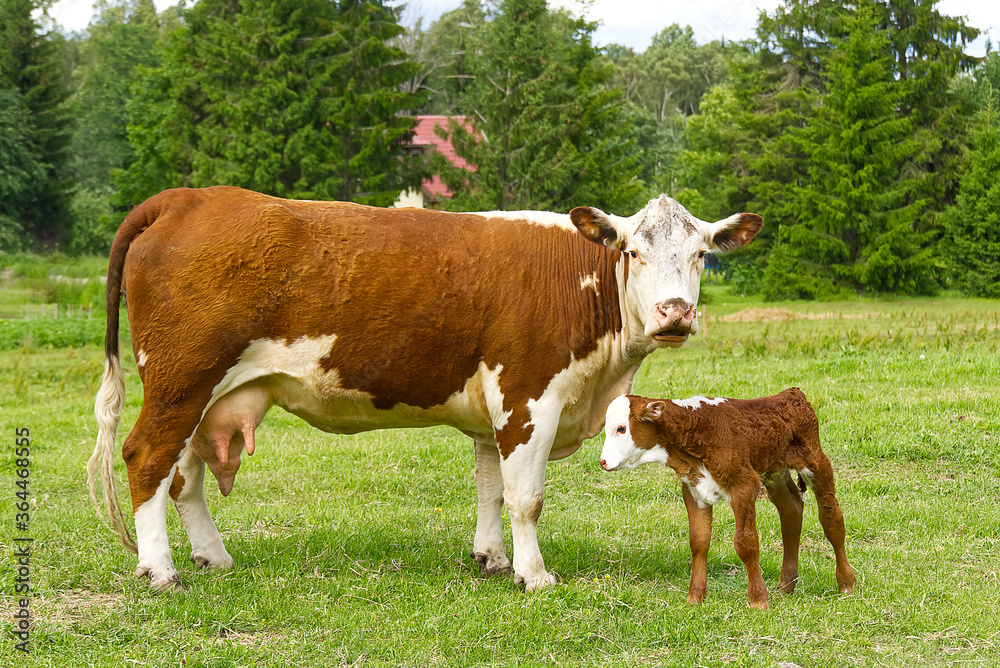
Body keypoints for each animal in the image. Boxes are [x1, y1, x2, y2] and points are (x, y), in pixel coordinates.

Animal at [88, 185, 756, 592]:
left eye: (700, 254)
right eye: (635, 251)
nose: (675, 313)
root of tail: (187, 197)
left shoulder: (495, 409)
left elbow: (491, 488)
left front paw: (491, 558)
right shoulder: (528, 397)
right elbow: (526, 497)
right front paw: (534, 574)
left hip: (203, 397)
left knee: (185, 475)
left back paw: (213, 556)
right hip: (181, 380)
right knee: (147, 458)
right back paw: (160, 570)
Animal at [596, 386, 856, 612]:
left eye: (621, 428)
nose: (603, 461)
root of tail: (791, 394)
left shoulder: (744, 485)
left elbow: (746, 543)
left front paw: (759, 600)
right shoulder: (693, 490)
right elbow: (698, 541)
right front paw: (695, 598)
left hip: (816, 463)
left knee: (832, 519)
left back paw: (846, 582)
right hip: (773, 471)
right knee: (791, 510)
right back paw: (786, 585)